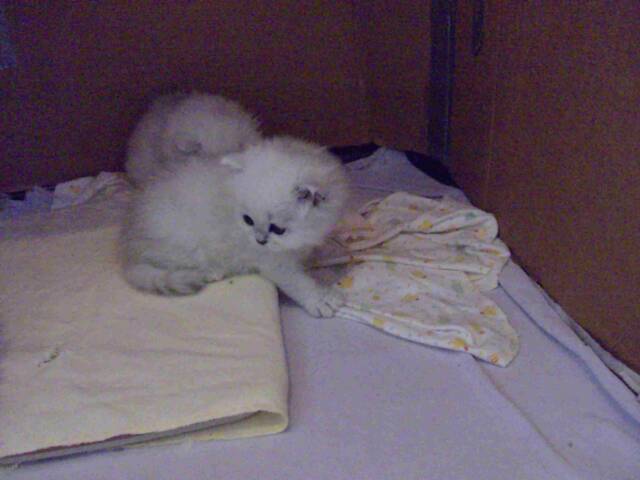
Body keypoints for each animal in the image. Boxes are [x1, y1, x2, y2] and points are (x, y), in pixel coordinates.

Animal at [123, 136, 349, 318]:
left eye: (277, 229)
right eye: (248, 220)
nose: (259, 240)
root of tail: (127, 241)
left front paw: (327, 250)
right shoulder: (270, 260)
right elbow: (295, 281)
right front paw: (320, 299)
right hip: (183, 240)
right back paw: (211, 271)